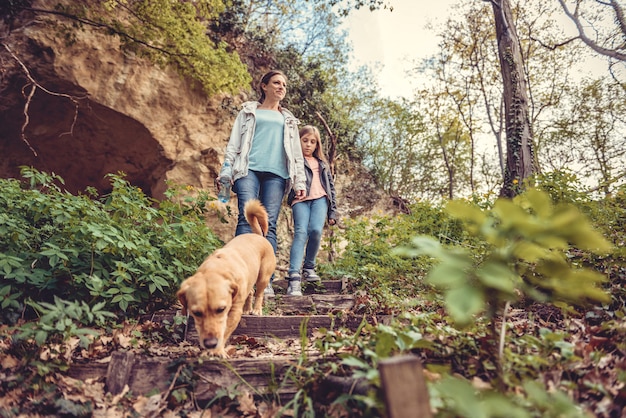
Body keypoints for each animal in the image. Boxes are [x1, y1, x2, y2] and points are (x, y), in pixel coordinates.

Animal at [176, 198, 272, 356]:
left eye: (221, 309)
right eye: (196, 313)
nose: (210, 344)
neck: (216, 268)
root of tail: (257, 235)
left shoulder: (234, 312)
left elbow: (225, 331)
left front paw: (217, 351)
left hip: (263, 277)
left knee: (259, 293)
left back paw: (257, 309)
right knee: (251, 292)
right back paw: (248, 308)